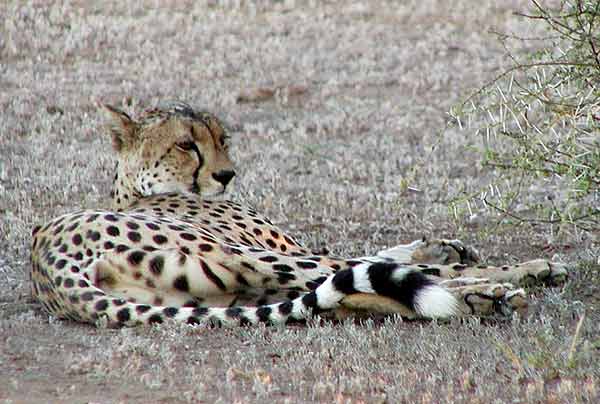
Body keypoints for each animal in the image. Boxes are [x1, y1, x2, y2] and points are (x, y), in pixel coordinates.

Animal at [30, 101, 568, 328]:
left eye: (222, 138)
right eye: (186, 145)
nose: (226, 174)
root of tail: (47, 264)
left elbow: (381, 257)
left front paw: (440, 243)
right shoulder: (281, 247)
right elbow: (375, 260)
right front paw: (526, 267)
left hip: (227, 291)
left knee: (348, 297)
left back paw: (482, 301)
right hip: (244, 258)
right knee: (352, 279)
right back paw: (499, 287)